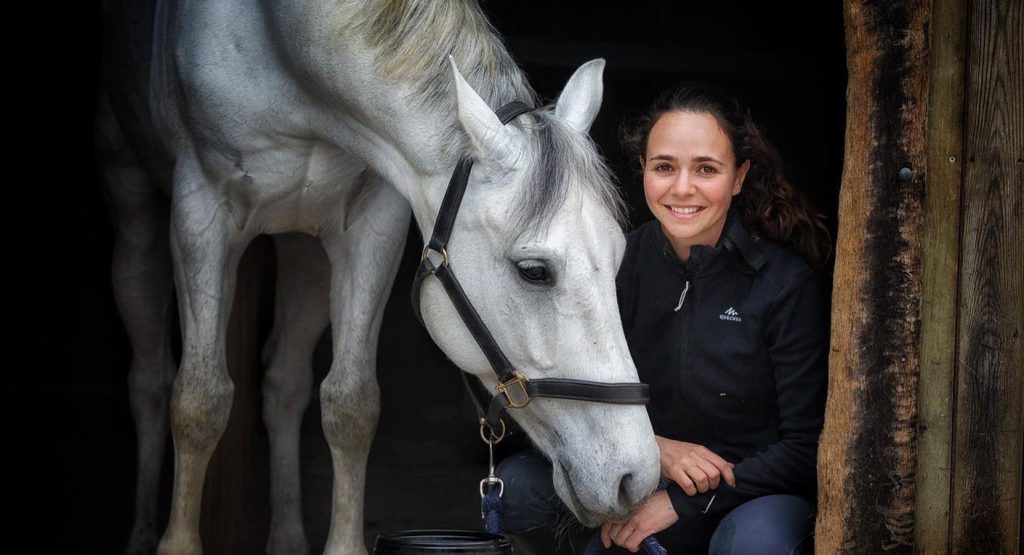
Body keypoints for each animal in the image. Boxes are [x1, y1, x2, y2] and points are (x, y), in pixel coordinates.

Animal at [94, 1, 655, 555]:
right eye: (534, 271)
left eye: (620, 256)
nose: (637, 478)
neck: (287, 52)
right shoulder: (202, 210)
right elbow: (198, 403)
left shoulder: (372, 224)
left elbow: (351, 406)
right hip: (134, 205)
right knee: (150, 380)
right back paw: (142, 532)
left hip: (304, 249)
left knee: (284, 383)